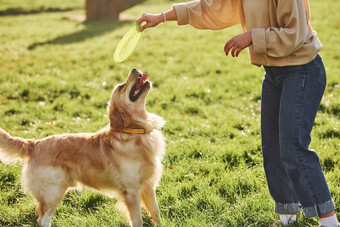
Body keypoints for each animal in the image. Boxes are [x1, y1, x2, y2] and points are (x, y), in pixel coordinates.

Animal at [0, 68, 166, 226]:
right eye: (121, 87)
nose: (134, 69)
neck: (134, 132)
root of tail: (34, 144)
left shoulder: (149, 186)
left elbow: (156, 212)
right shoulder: (131, 191)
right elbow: (137, 220)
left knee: (37, 212)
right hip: (54, 191)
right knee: (43, 220)